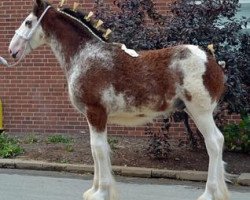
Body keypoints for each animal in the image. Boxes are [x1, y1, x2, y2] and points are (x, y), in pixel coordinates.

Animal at [6, 0, 229, 200]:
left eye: (28, 22)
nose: (11, 50)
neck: (86, 56)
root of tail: (212, 60)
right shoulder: (93, 116)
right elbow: (95, 149)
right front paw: (94, 191)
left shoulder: (96, 113)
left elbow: (99, 149)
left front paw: (101, 192)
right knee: (218, 141)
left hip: (200, 113)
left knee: (214, 143)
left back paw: (209, 194)